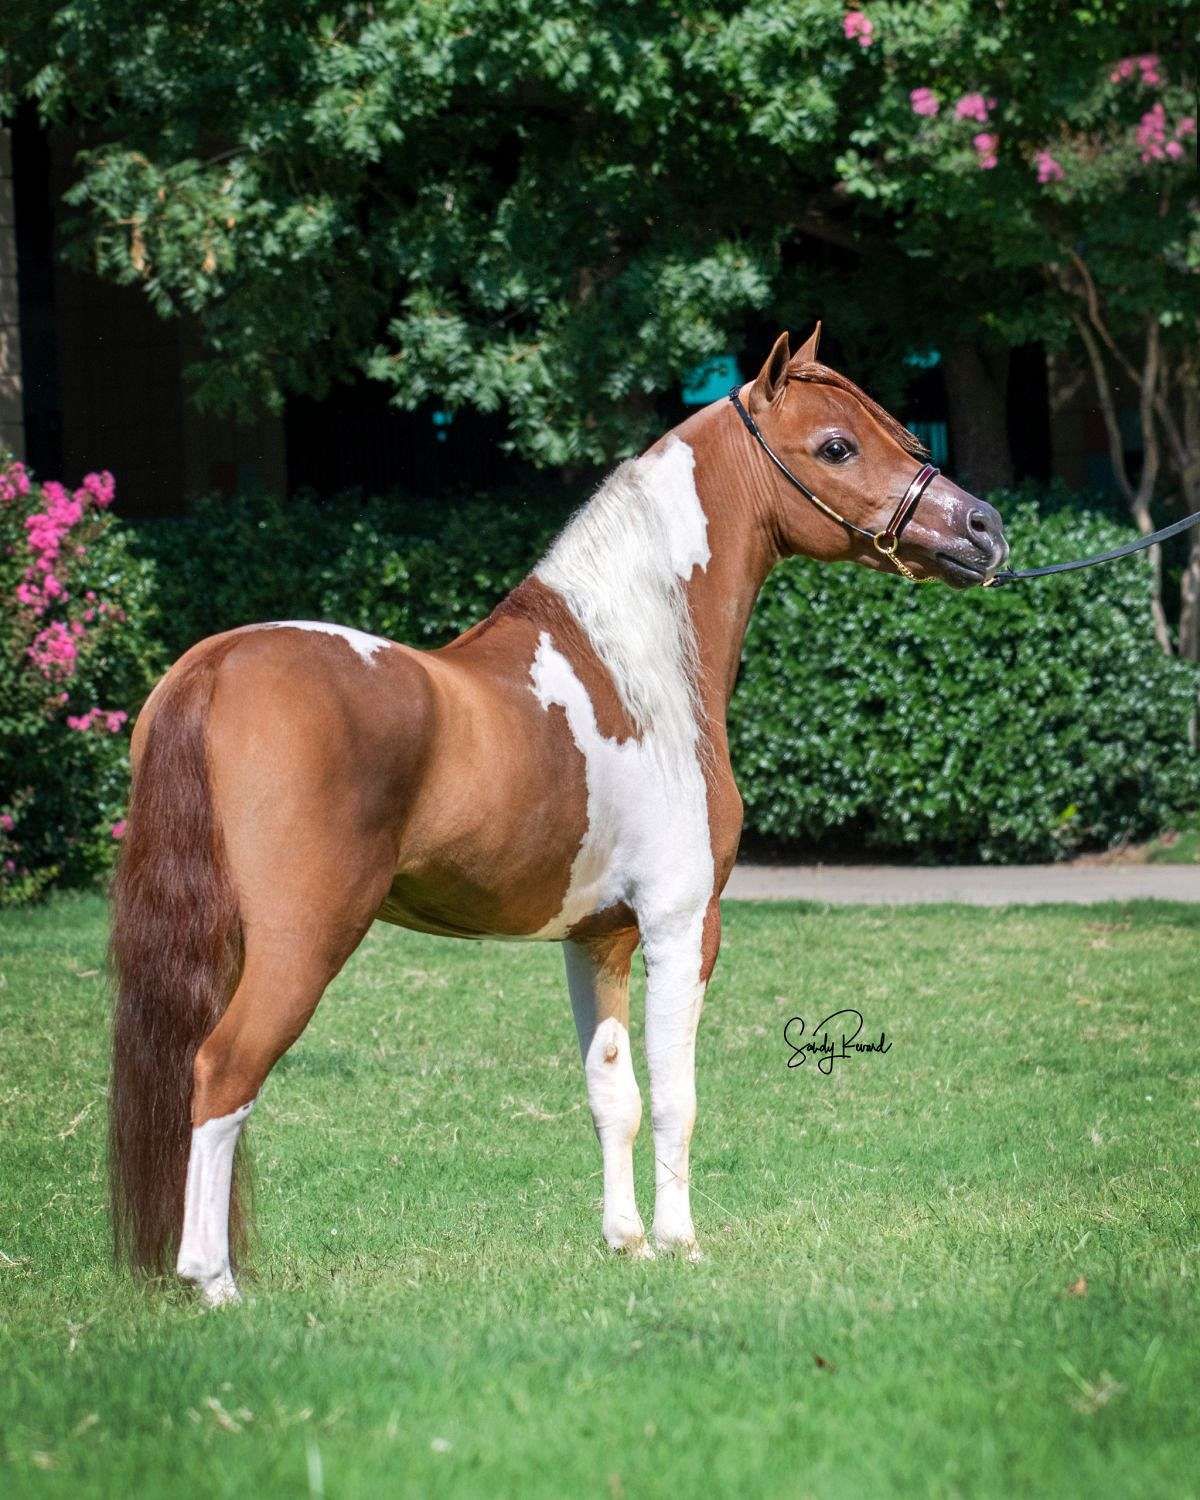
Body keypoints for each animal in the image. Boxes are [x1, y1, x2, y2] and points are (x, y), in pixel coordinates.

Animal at [108, 327, 1008, 1304]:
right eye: (837, 446)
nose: (984, 529)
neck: (636, 665)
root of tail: (215, 666)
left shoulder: (596, 938)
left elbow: (614, 1096)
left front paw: (628, 1243)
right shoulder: (682, 924)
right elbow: (677, 1094)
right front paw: (682, 1242)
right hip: (302, 940)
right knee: (223, 1071)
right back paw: (213, 1281)